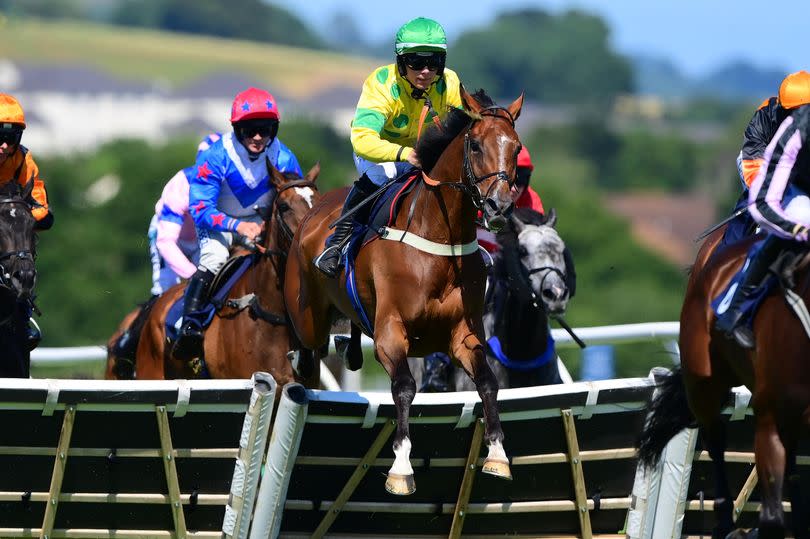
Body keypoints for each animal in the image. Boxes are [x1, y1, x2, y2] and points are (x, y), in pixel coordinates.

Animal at [284, 88, 524, 498]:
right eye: (476, 145)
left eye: (517, 147)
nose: (499, 206)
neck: (440, 240)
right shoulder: (390, 332)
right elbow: (404, 387)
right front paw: (400, 467)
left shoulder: (464, 334)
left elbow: (488, 382)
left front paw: (497, 454)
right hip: (308, 314)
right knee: (305, 352)